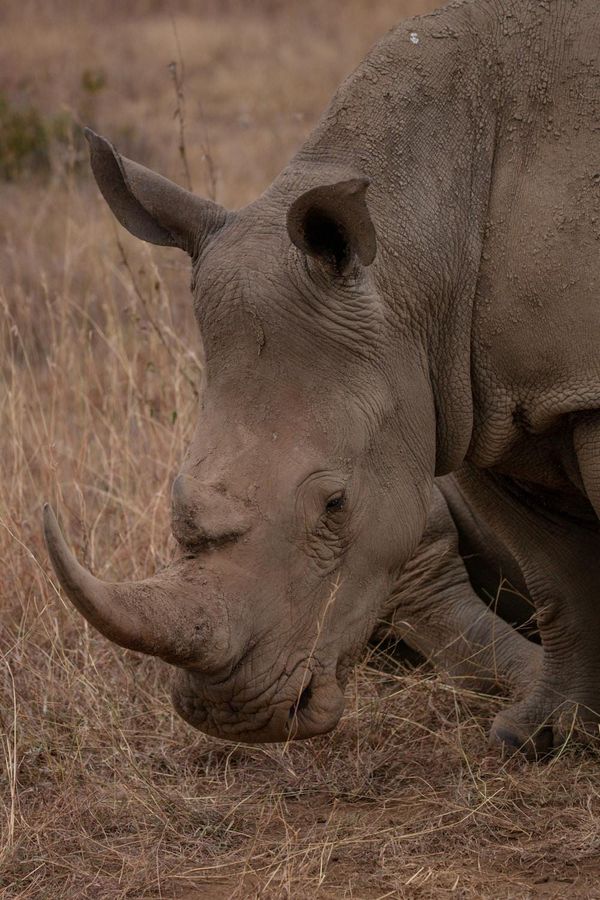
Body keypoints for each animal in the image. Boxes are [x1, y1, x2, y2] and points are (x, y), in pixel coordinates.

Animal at [44, 0, 600, 757]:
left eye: (335, 504)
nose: (231, 714)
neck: (418, 245)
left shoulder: (550, 388)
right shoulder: (473, 398)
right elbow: (557, 578)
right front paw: (537, 739)